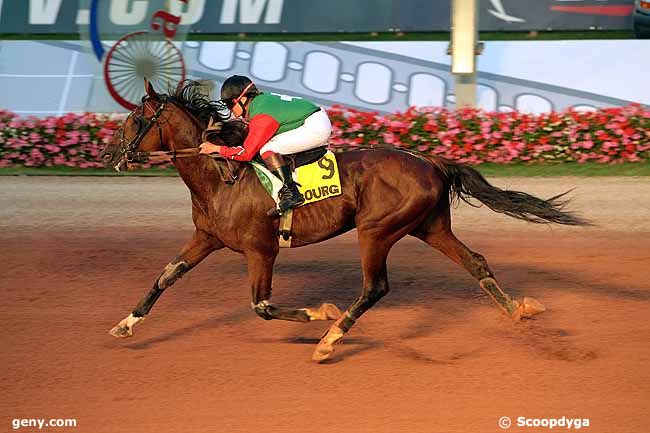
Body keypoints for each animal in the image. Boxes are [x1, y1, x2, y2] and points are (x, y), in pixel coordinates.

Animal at [101, 81, 588, 362]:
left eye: (136, 119)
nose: (108, 155)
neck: (222, 178)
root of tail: (429, 160)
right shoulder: (207, 237)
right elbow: (166, 275)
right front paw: (126, 324)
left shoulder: (262, 249)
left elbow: (261, 306)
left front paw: (320, 313)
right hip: (429, 226)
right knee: (476, 262)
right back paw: (518, 311)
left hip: (376, 230)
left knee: (375, 287)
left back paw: (329, 339)